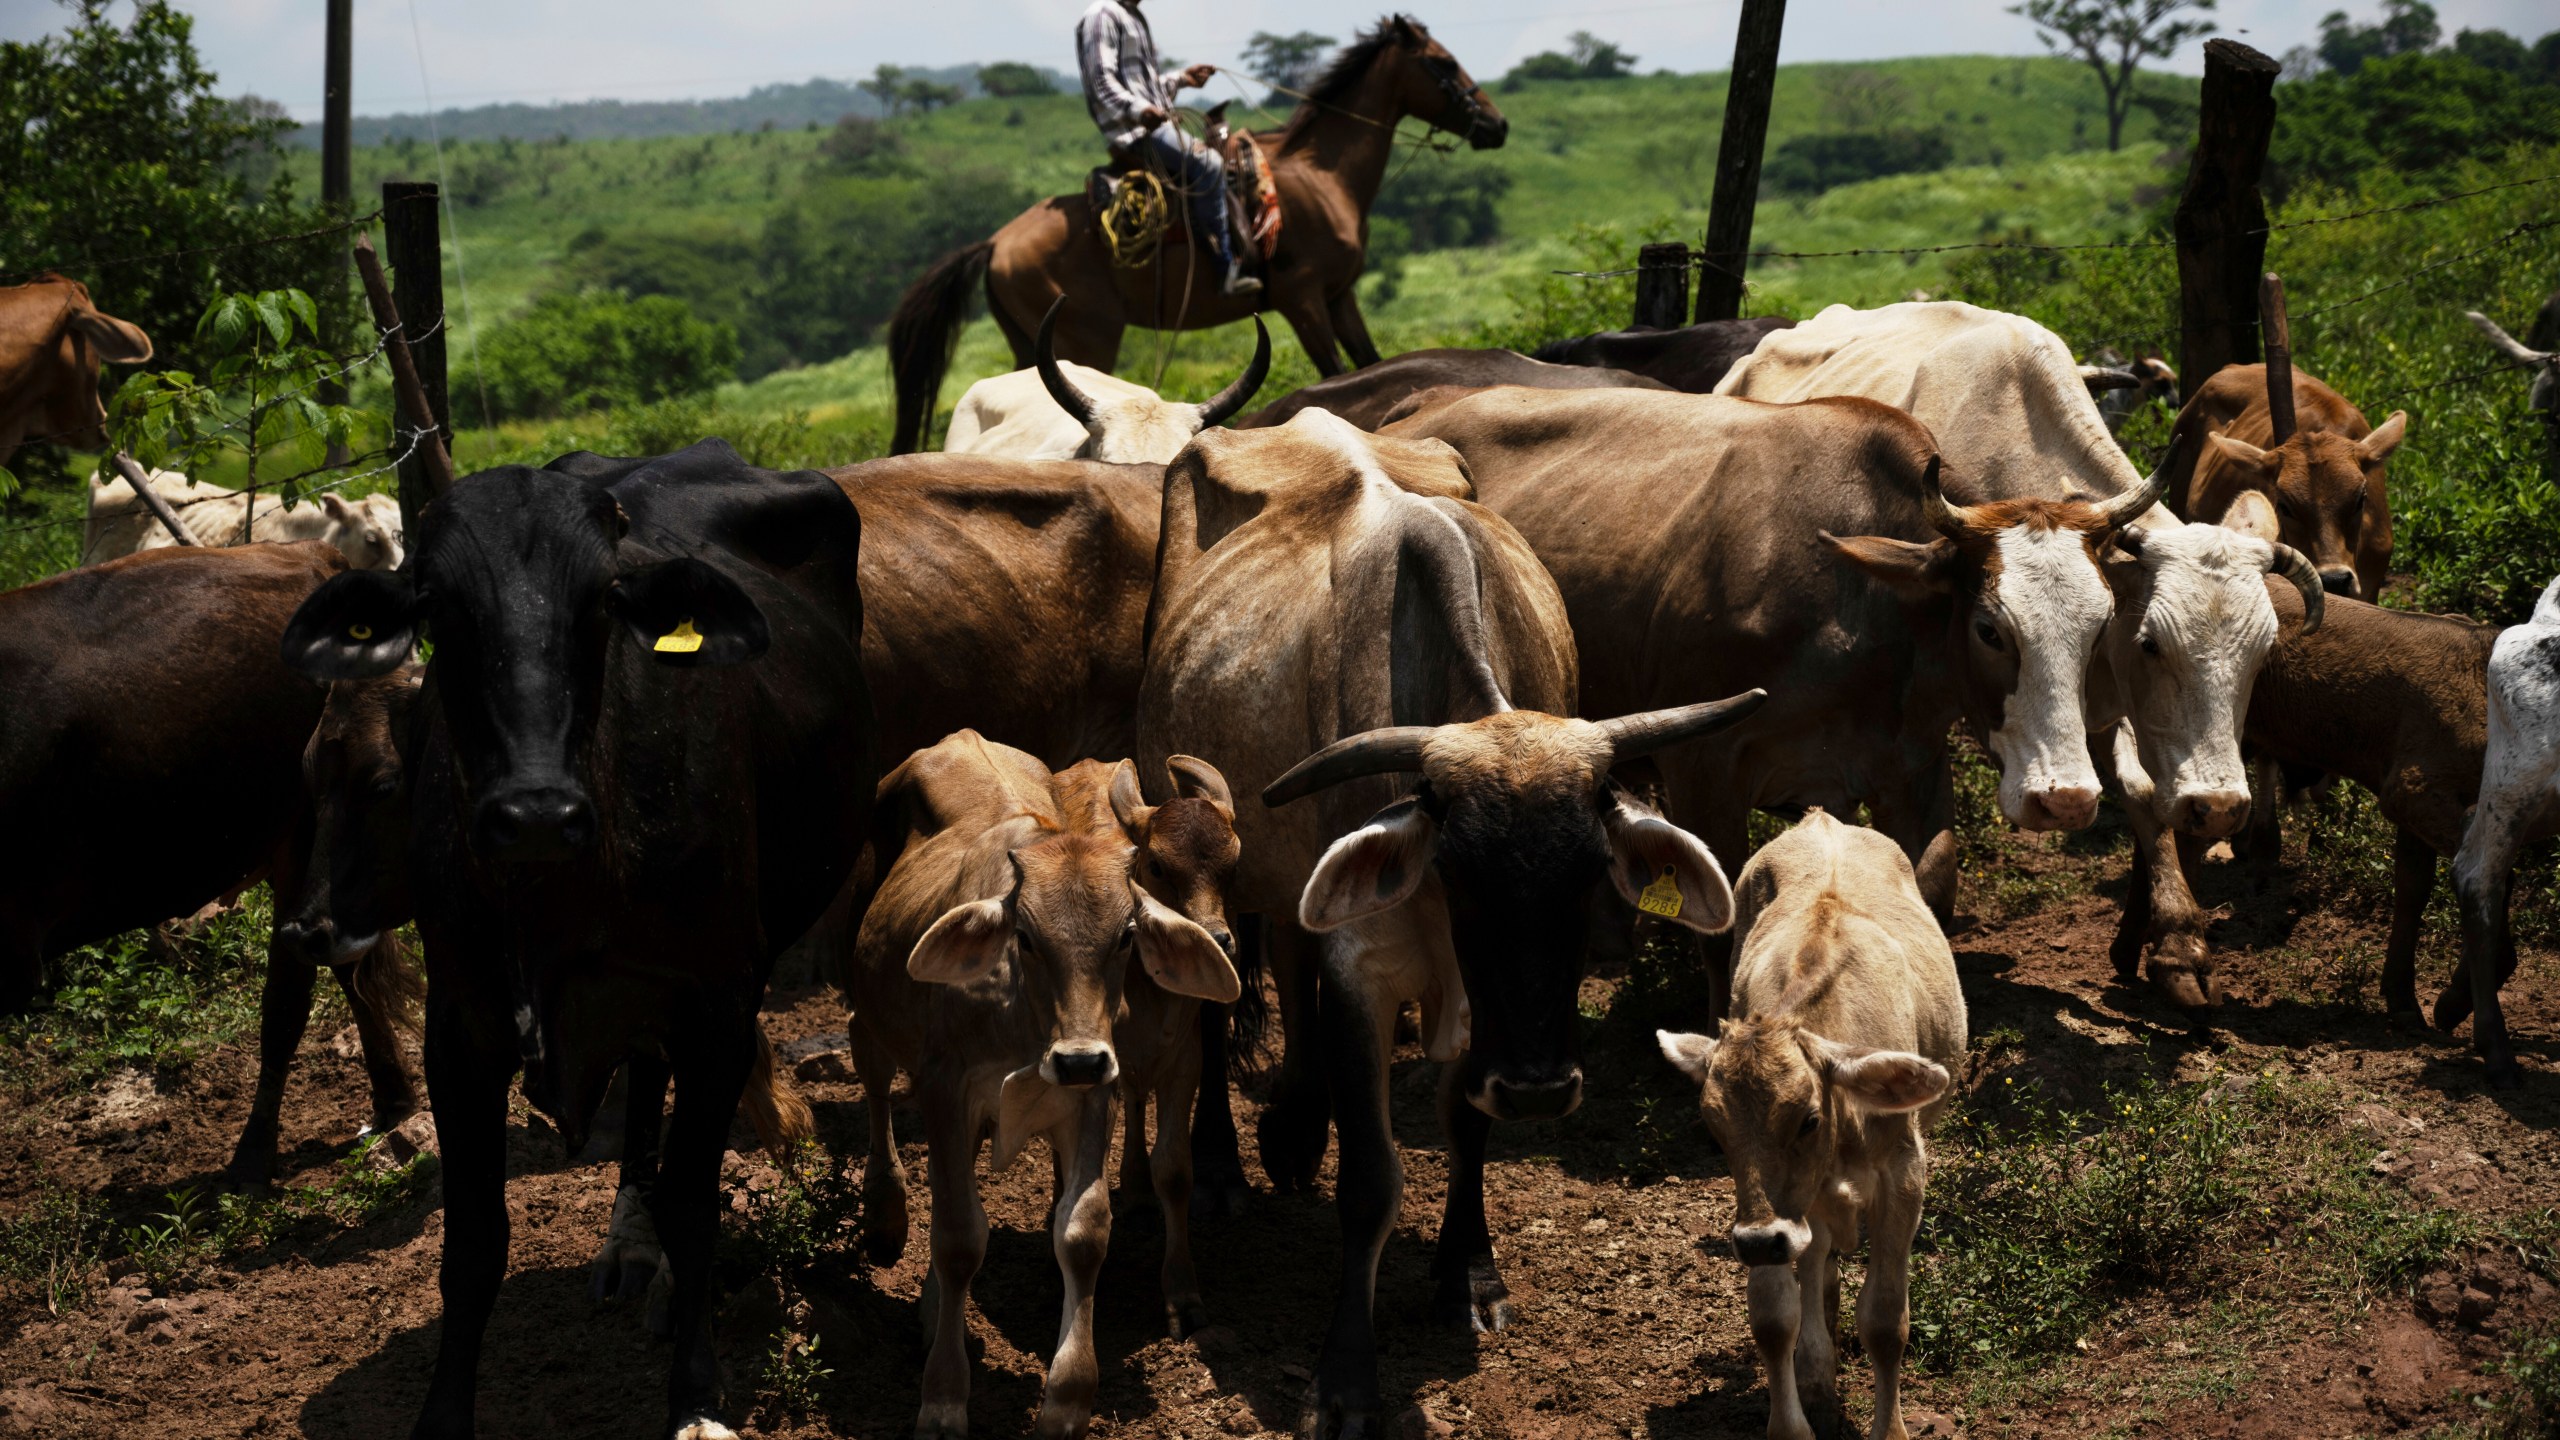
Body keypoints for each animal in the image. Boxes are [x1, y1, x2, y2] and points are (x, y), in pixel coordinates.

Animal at [279, 439, 874, 1440]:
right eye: (439, 607)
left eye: (603, 600)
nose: (534, 814)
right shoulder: (461, 1026)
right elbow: (474, 1239)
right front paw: (443, 1414)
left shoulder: (719, 1001)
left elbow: (694, 1205)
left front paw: (696, 1396)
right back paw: (630, 1244)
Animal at [843, 732, 1238, 1438]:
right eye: (1023, 936)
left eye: (1127, 935)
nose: (1078, 1059)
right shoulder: (944, 1086)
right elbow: (957, 1237)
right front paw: (942, 1399)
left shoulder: (1099, 1094)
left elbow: (1083, 1231)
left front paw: (1068, 1399)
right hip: (871, 1010)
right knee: (875, 1079)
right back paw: (885, 1214)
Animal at [1137, 409, 1765, 1437]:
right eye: (1464, 875)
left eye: (1592, 874)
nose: (1543, 1091)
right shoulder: (1364, 963)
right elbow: (1372, 1180)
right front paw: (1347, 1377)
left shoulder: (1476, 1002)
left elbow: (1468, 1120)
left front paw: (1467, 1271)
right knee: (1215, 998)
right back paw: (1227, 1164)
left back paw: (1296, 1128)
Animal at [1658, 808, 1964, 1440]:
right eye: (1714, 1127)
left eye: (1809, 1119)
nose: (1759, 1239)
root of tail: (1821, 819)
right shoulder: (1768, 1213)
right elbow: (1775, 1318)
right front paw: (1796, 1414)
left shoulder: (1904, 1173)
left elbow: (1884, 1321)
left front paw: (1890, 1428)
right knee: (1815, 1253)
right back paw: (1818, 1372)